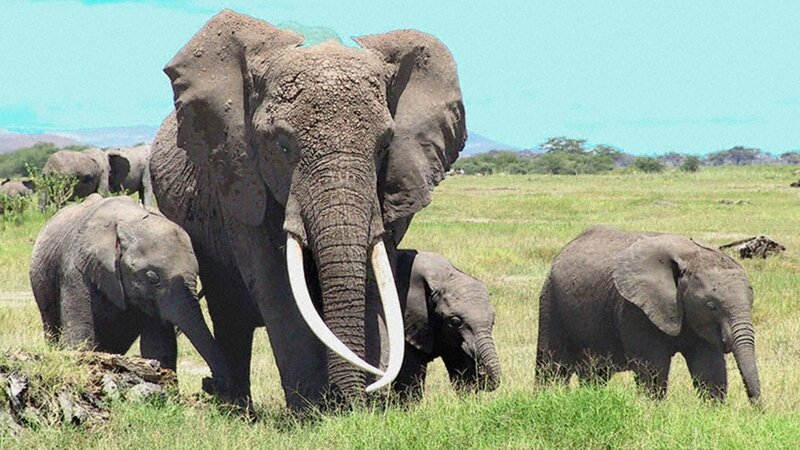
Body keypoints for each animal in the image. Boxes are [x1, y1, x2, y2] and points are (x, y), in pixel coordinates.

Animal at [150, 10, 465, 411]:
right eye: (282, 146)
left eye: (385, 145)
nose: (354, 400)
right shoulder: (240, 180)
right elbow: (279, 287)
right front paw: (313, 412)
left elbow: (374, 278)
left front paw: (365, 408)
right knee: (230, 313)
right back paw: (237, 408)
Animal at [391, 250, 499, 402]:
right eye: (455, 322)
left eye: (493, 322)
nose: (481, 372)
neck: (442, 277)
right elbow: (409, 375)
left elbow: (459, 366)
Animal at [536, 226, 761, 404]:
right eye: (711, 305)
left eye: (751, 303)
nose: (759, 411)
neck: (690, 257)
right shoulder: (634, 310)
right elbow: (653, 369)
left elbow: (709, 368)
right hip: (550, 301)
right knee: (551, 366)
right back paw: (547, 399)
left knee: (595, 374)